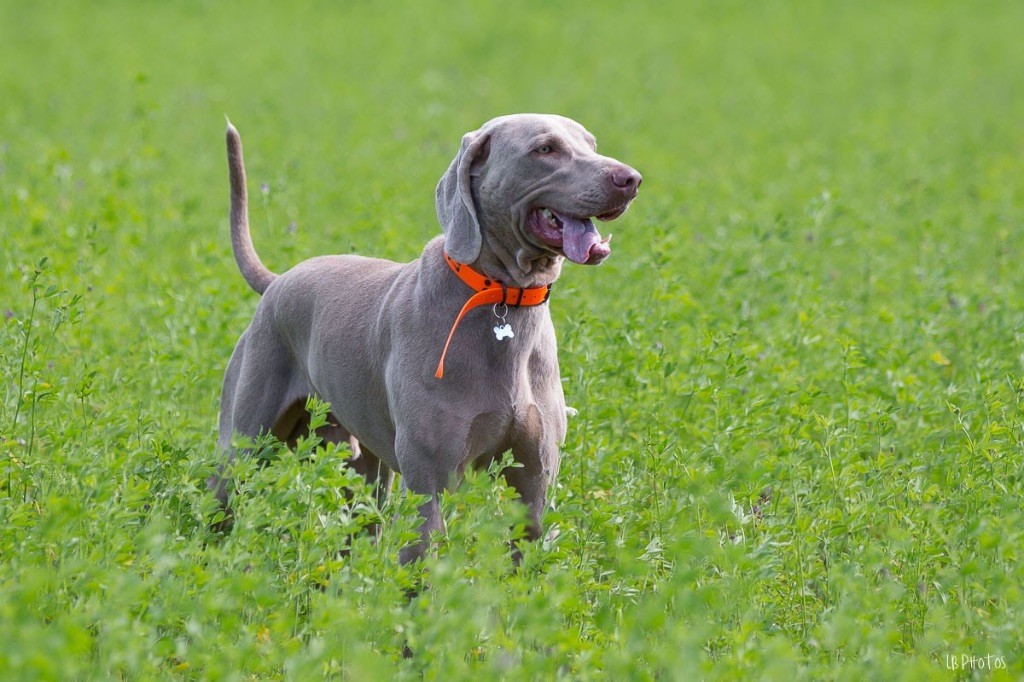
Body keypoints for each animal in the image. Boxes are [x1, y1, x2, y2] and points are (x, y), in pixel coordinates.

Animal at [207, 114, 638, 561]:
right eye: (545, 149)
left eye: (591, 144)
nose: (631, 179)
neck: (503, 299)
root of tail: (277, 281)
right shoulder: (428, 480)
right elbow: (422, 558)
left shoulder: (535, 482)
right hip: (243, 441)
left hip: (362, 466)